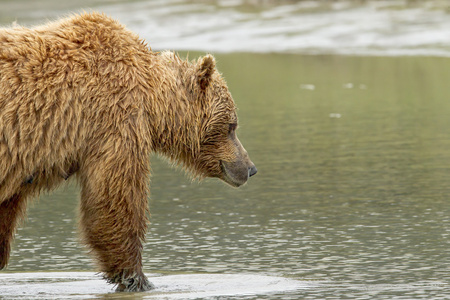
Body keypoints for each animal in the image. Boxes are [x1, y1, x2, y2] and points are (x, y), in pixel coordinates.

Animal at [0, 12, 255, 292]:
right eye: (232, 126)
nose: (250, 168)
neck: (153, 98)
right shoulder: (115, 119)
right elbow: (115, 200)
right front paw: (137, 278)